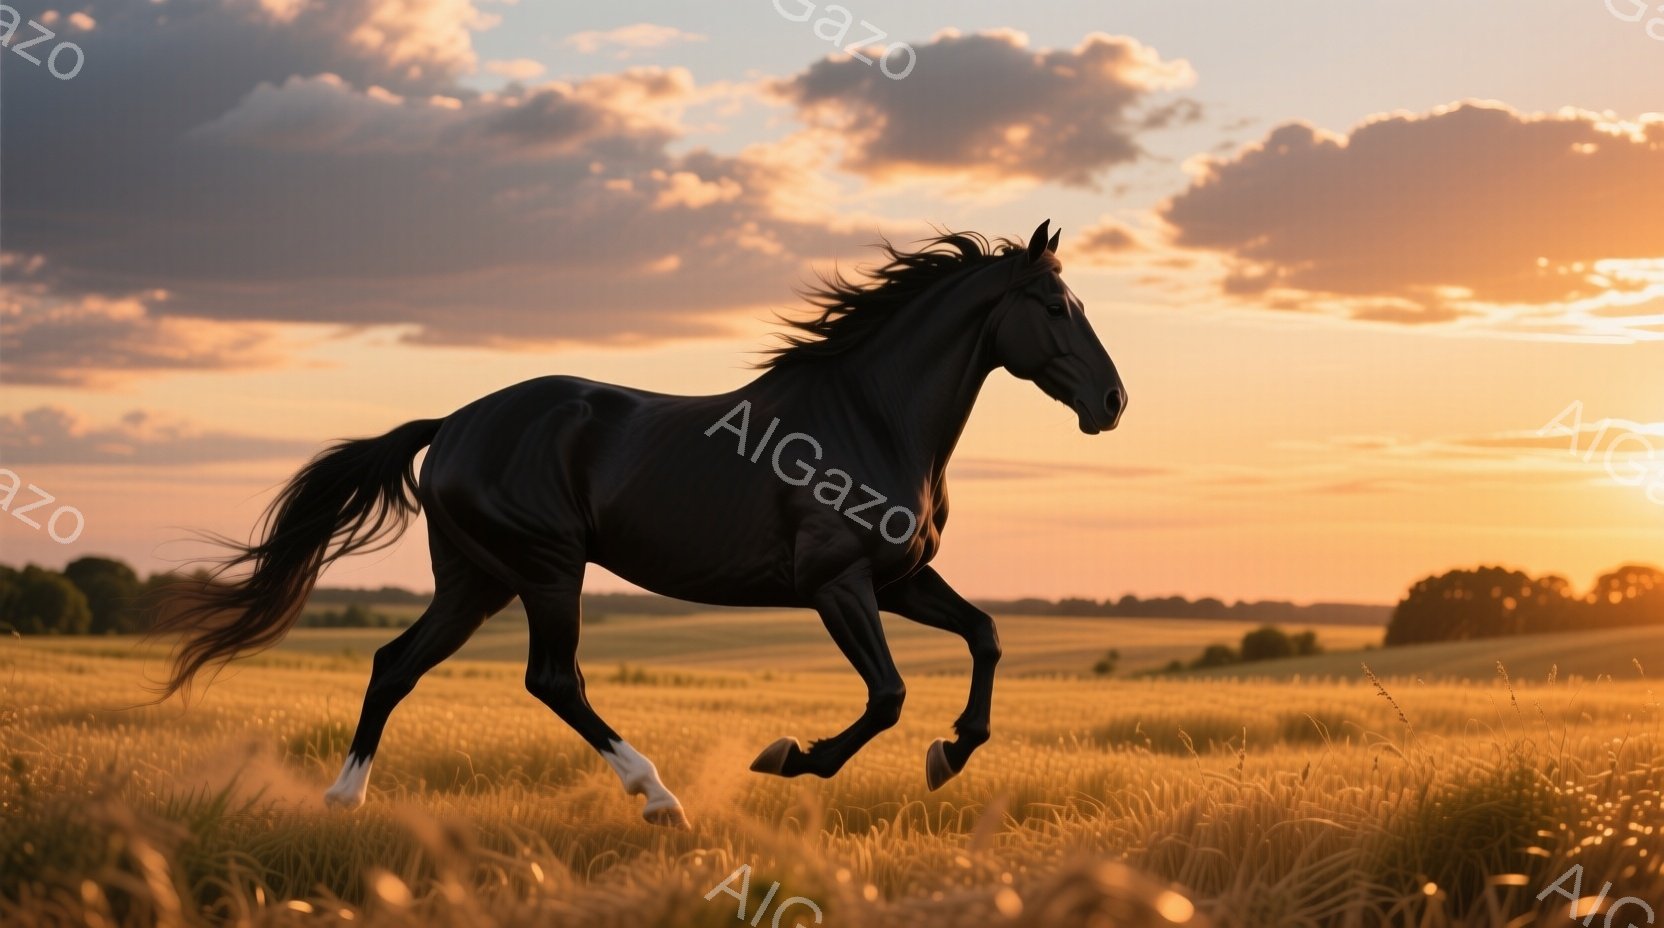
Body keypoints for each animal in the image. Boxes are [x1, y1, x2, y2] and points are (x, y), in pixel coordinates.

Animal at [155, 220, 1127, 828]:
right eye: (1055, 308)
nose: (1113, 403)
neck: (870, 418)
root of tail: (454, 423)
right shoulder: (837, 584)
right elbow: (886, 696)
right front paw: (787, 756)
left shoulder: (901, 579)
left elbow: (987, 635)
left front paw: (950, 754)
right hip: (546, 568)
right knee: (553, 678)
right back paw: (659, 798)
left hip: (478, 578)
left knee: (397, 663)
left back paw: (343, 802)